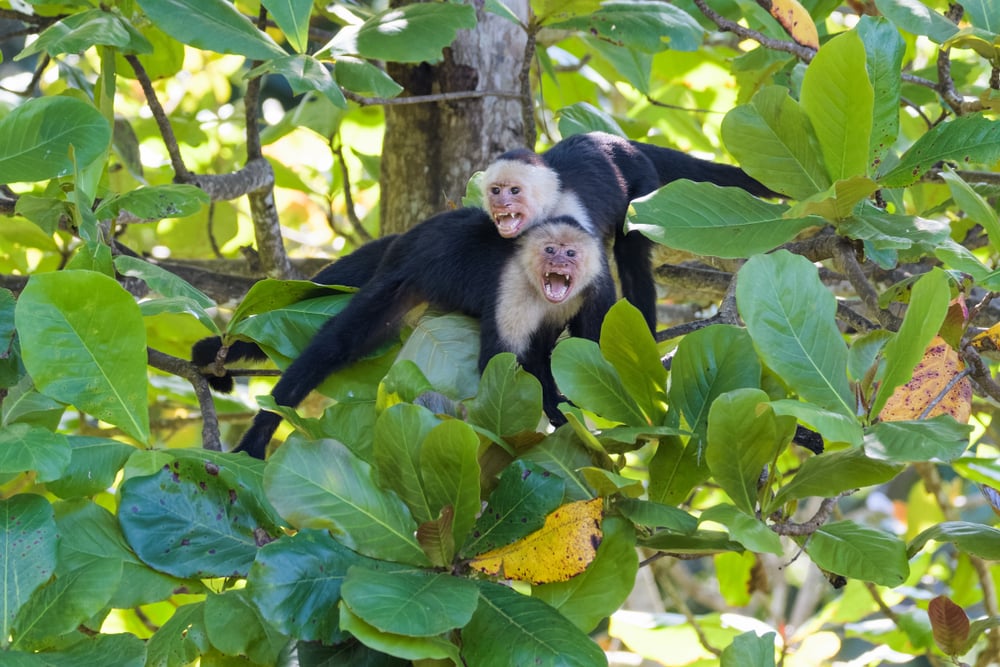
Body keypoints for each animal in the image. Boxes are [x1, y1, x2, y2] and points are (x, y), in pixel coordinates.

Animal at [232, 208, 610, 459]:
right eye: (550, 250)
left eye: (571, 252)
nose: (559, 263)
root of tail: (411, 234)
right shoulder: (512, 288)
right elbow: (501, 364)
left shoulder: (587, 290)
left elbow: (562, 350)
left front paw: (561, 409)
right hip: (400, 277)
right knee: (335, 345)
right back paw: (259, 434)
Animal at [482, 131, 778, 332]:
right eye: (495, 190)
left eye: (514, 191)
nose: (501, 203)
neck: (547, 209)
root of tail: (621, 141)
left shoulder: (575, 225)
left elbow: (598, 296)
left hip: (643, 188)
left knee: (631, 256)